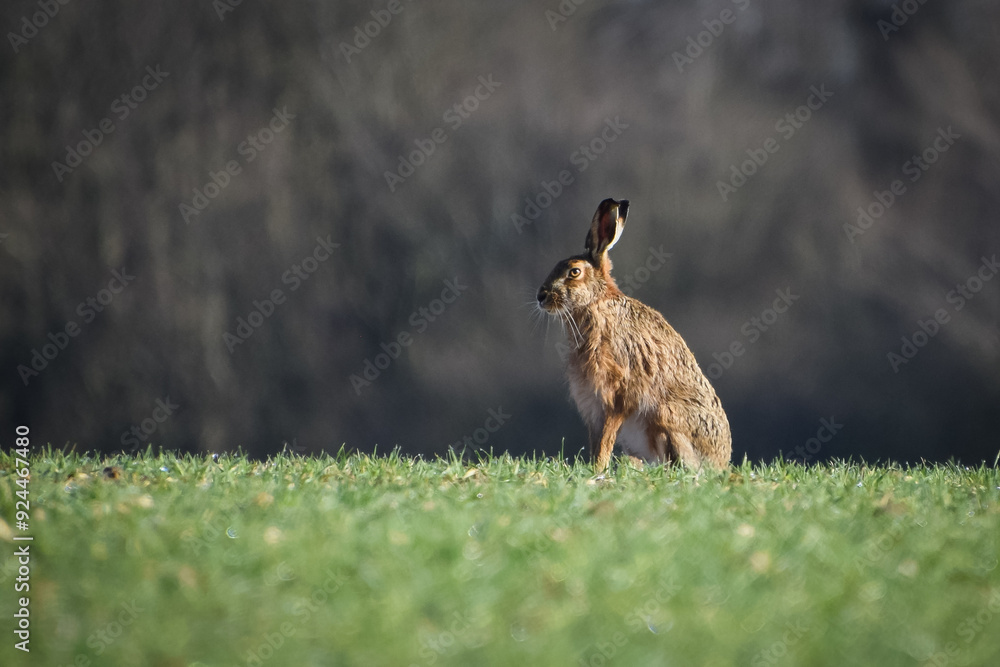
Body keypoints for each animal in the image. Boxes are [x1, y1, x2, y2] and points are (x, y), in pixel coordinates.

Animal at [536, 198, 732, 473]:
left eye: (574, 272)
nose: (540, 297)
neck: (596, 302)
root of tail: (721, 462)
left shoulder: (618, 395)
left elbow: (606, 439)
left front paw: (598, 469)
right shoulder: (593, 407)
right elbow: (597, 441)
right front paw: (595, 468)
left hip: (666, 417)